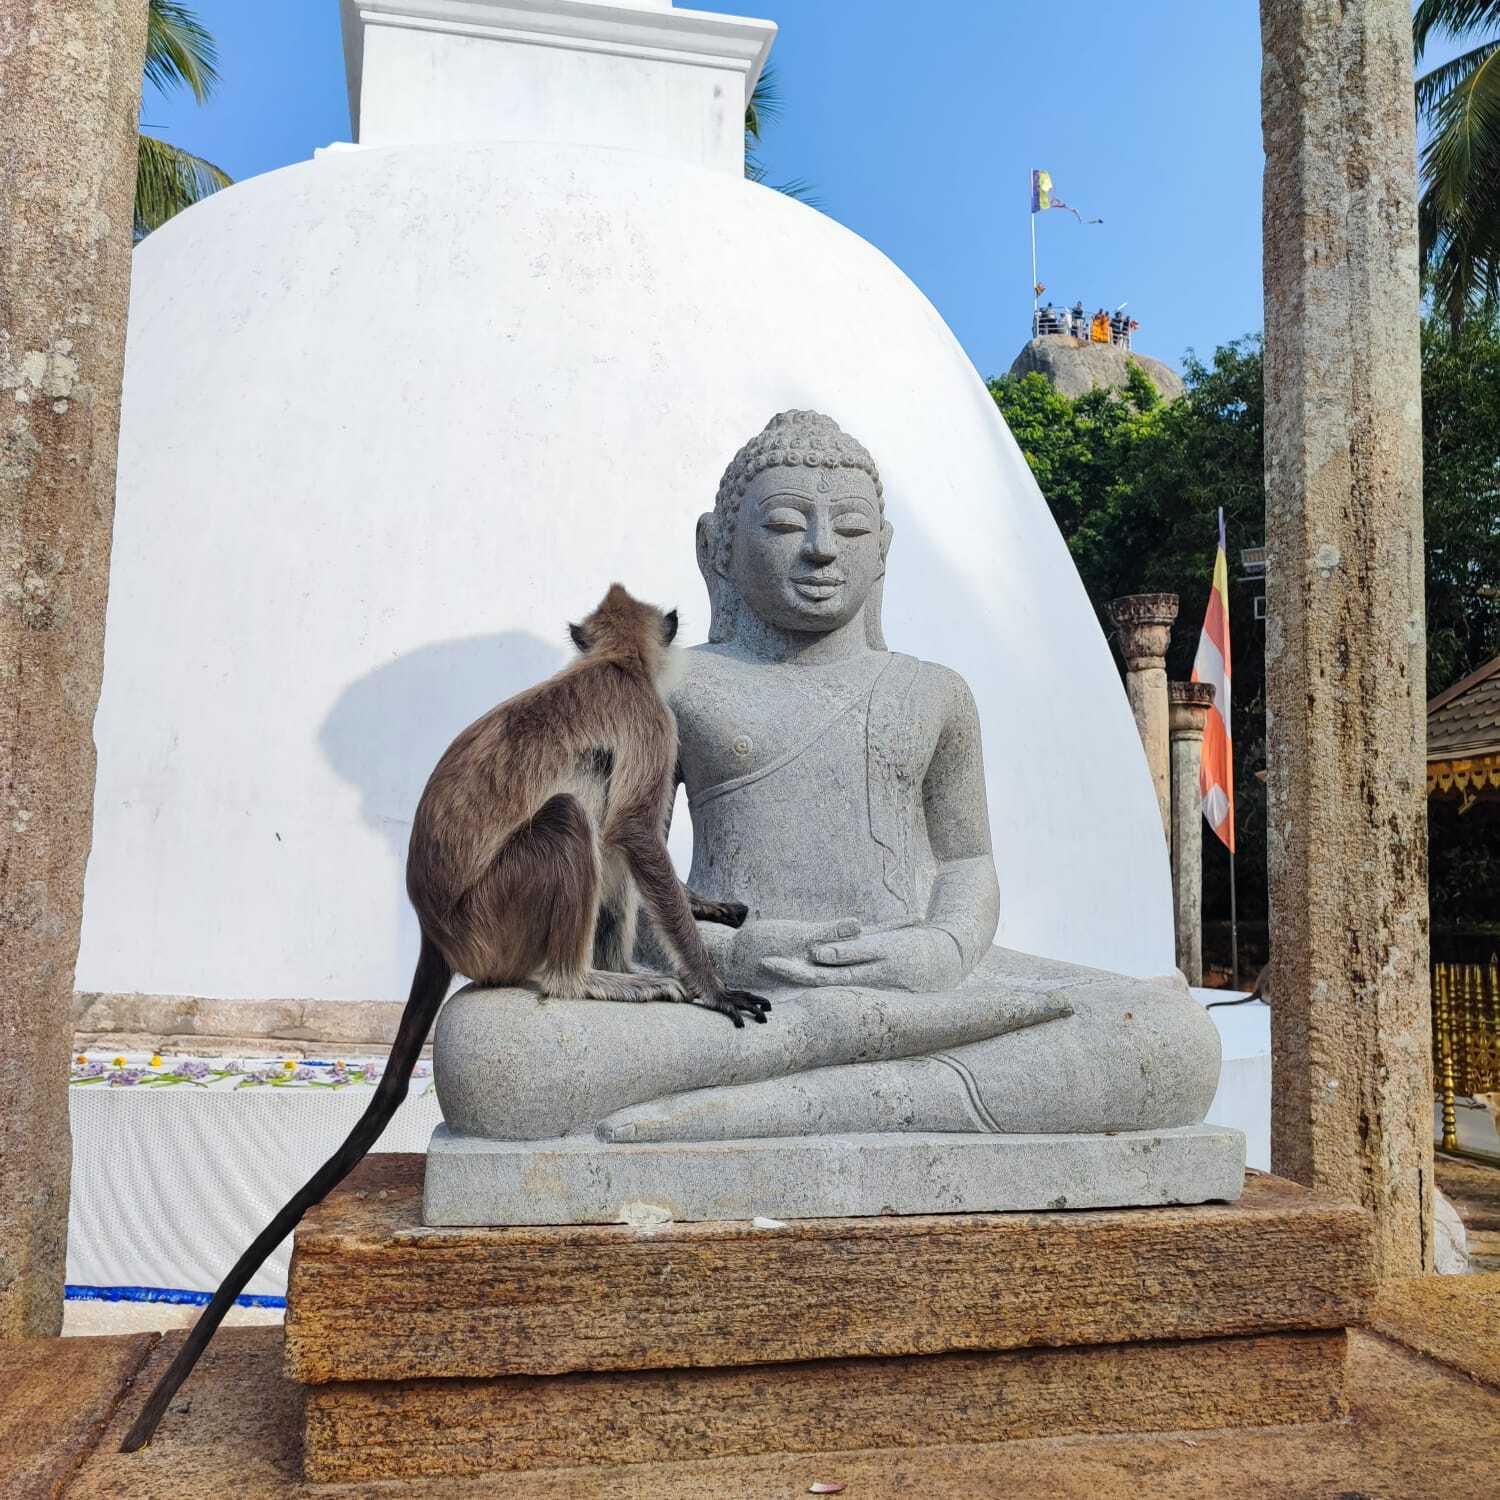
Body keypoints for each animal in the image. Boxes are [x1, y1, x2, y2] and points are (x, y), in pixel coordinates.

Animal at [120, 584, 769, 1452]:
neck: (612, 665)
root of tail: (437, 927)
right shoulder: (648, 722)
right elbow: (635, 831)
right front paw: (709, 985)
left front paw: (709, 910)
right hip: (501, 914)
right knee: (577, 820)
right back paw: (589, 982)